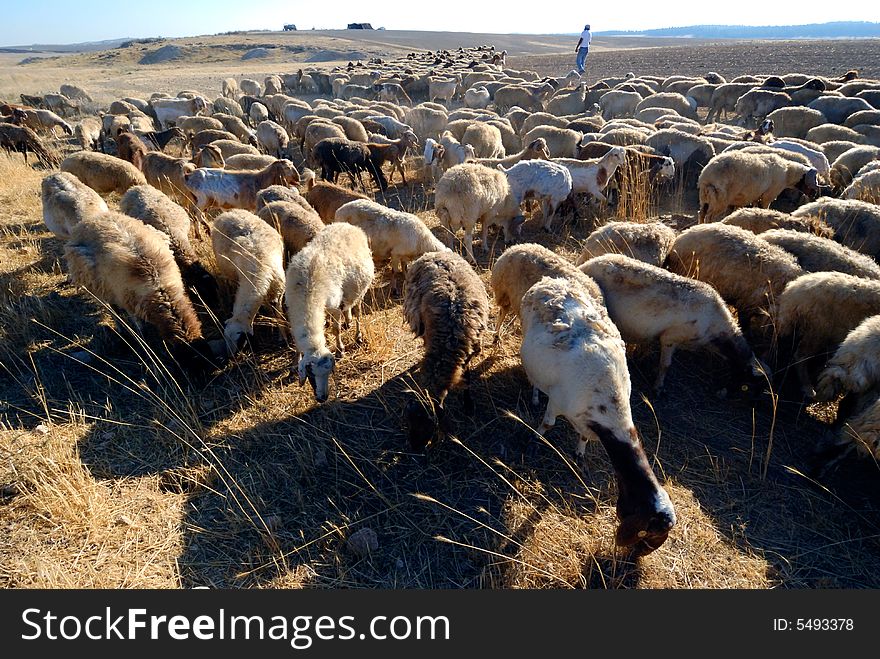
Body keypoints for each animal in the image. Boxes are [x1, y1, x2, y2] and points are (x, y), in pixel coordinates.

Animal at [64, 213, 218, 376]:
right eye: (189, 366)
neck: (159, 287)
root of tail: (92, 219)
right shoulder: (130, 303)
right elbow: (140, 328)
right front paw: (146, 344)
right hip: (94, 283)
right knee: (110, 308)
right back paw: (121, 328)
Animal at [211, 211, 286, 356]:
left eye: (240, 338)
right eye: (225, 337)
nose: (230, 356)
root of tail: (229, 212)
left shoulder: (278, 291)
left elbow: (278, 312)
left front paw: (282, 336)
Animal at [286, 223, 374, 402]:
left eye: (329, 373)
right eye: (310, 373)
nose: (322, 398)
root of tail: (348, 225)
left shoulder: (334, 306)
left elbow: (336, 329)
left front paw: (340, 349)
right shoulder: (292, 309)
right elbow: (296, 342)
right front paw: (294, 361)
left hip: (360, 290)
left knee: (358, 312)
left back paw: (358, 335)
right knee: (347, 307)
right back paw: (348, 320)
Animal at [520, 276, 676, 556]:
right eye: (650, 533)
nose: (636, 557)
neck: (610, 409)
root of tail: (551, 280)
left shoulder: (586, 421)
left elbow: (582, 438)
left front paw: (579, 457)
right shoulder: (558, 401)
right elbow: (547, 424)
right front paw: (535, 441)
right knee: (535, 379)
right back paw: (535, 396)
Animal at [580, 255, 760, 394]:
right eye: (747, 384)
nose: (722, 394)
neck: (716, 329)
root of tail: (588, 263)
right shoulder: (670, 338)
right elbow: (665, 365)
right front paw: (658, 387)